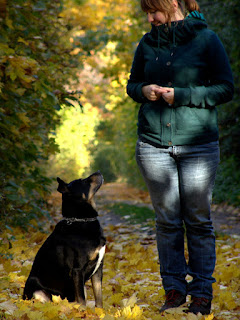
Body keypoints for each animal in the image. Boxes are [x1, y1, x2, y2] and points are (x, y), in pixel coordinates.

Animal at [23, 172, 106, 308]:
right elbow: (82, 300)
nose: (98, 172)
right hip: (37, 290)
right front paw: (83, 312)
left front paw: (100, 312)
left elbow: (99, 297)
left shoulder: (98, 268)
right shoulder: (77, 270)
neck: (80, 219)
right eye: (84, 181)